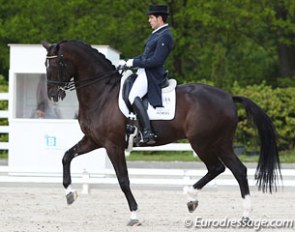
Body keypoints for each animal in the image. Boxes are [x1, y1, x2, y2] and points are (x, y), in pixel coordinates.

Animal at [42, 40, 282, 227]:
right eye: (45, 64)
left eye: (57, 63)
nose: (52, 95)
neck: (102, 93)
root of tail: (228, 97)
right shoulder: (93, 140)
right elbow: (66, 156)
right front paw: (70, 194)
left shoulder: (113, 145)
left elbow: (123, 180)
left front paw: (134, 215)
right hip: (221, 143)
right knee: (238, 170)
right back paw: (244, 216)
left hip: (202, 143)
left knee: (217, 168)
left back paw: (191, 198)